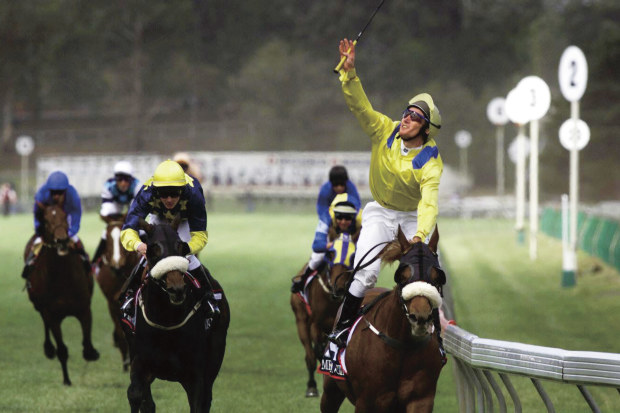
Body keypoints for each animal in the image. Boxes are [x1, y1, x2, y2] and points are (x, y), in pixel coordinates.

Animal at [22, 203, 99, 386]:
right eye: (46, 220)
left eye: (65, 216)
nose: (62, 240)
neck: (63, 277)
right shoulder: (52, 315)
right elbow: (62, 348)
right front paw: (66, 380)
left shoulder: (84, 309)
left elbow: (86, 343)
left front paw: (91, 353)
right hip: (38, 306)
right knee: (45, 324)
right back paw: (48, 349)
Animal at [124, 217, 231, 410]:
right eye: (153, 249)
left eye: (180, 247)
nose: (177, 289)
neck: (166, 319)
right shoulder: (140, 361)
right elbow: (136, 394)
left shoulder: (195, 375)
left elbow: (198, 403)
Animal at [290, 232, 354, 396]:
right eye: (331, 255)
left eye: (352, 256)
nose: (339, 287)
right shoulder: (316, 323)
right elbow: (317, 349)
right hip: (300, 320)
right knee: (310, 354)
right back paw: (312, 386)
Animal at [320, 227, 446, 410]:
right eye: (403, 276)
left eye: (437, 277)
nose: (420, 317)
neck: (403, 346)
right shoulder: (366, 401)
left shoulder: (421, 400)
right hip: (330, 390)